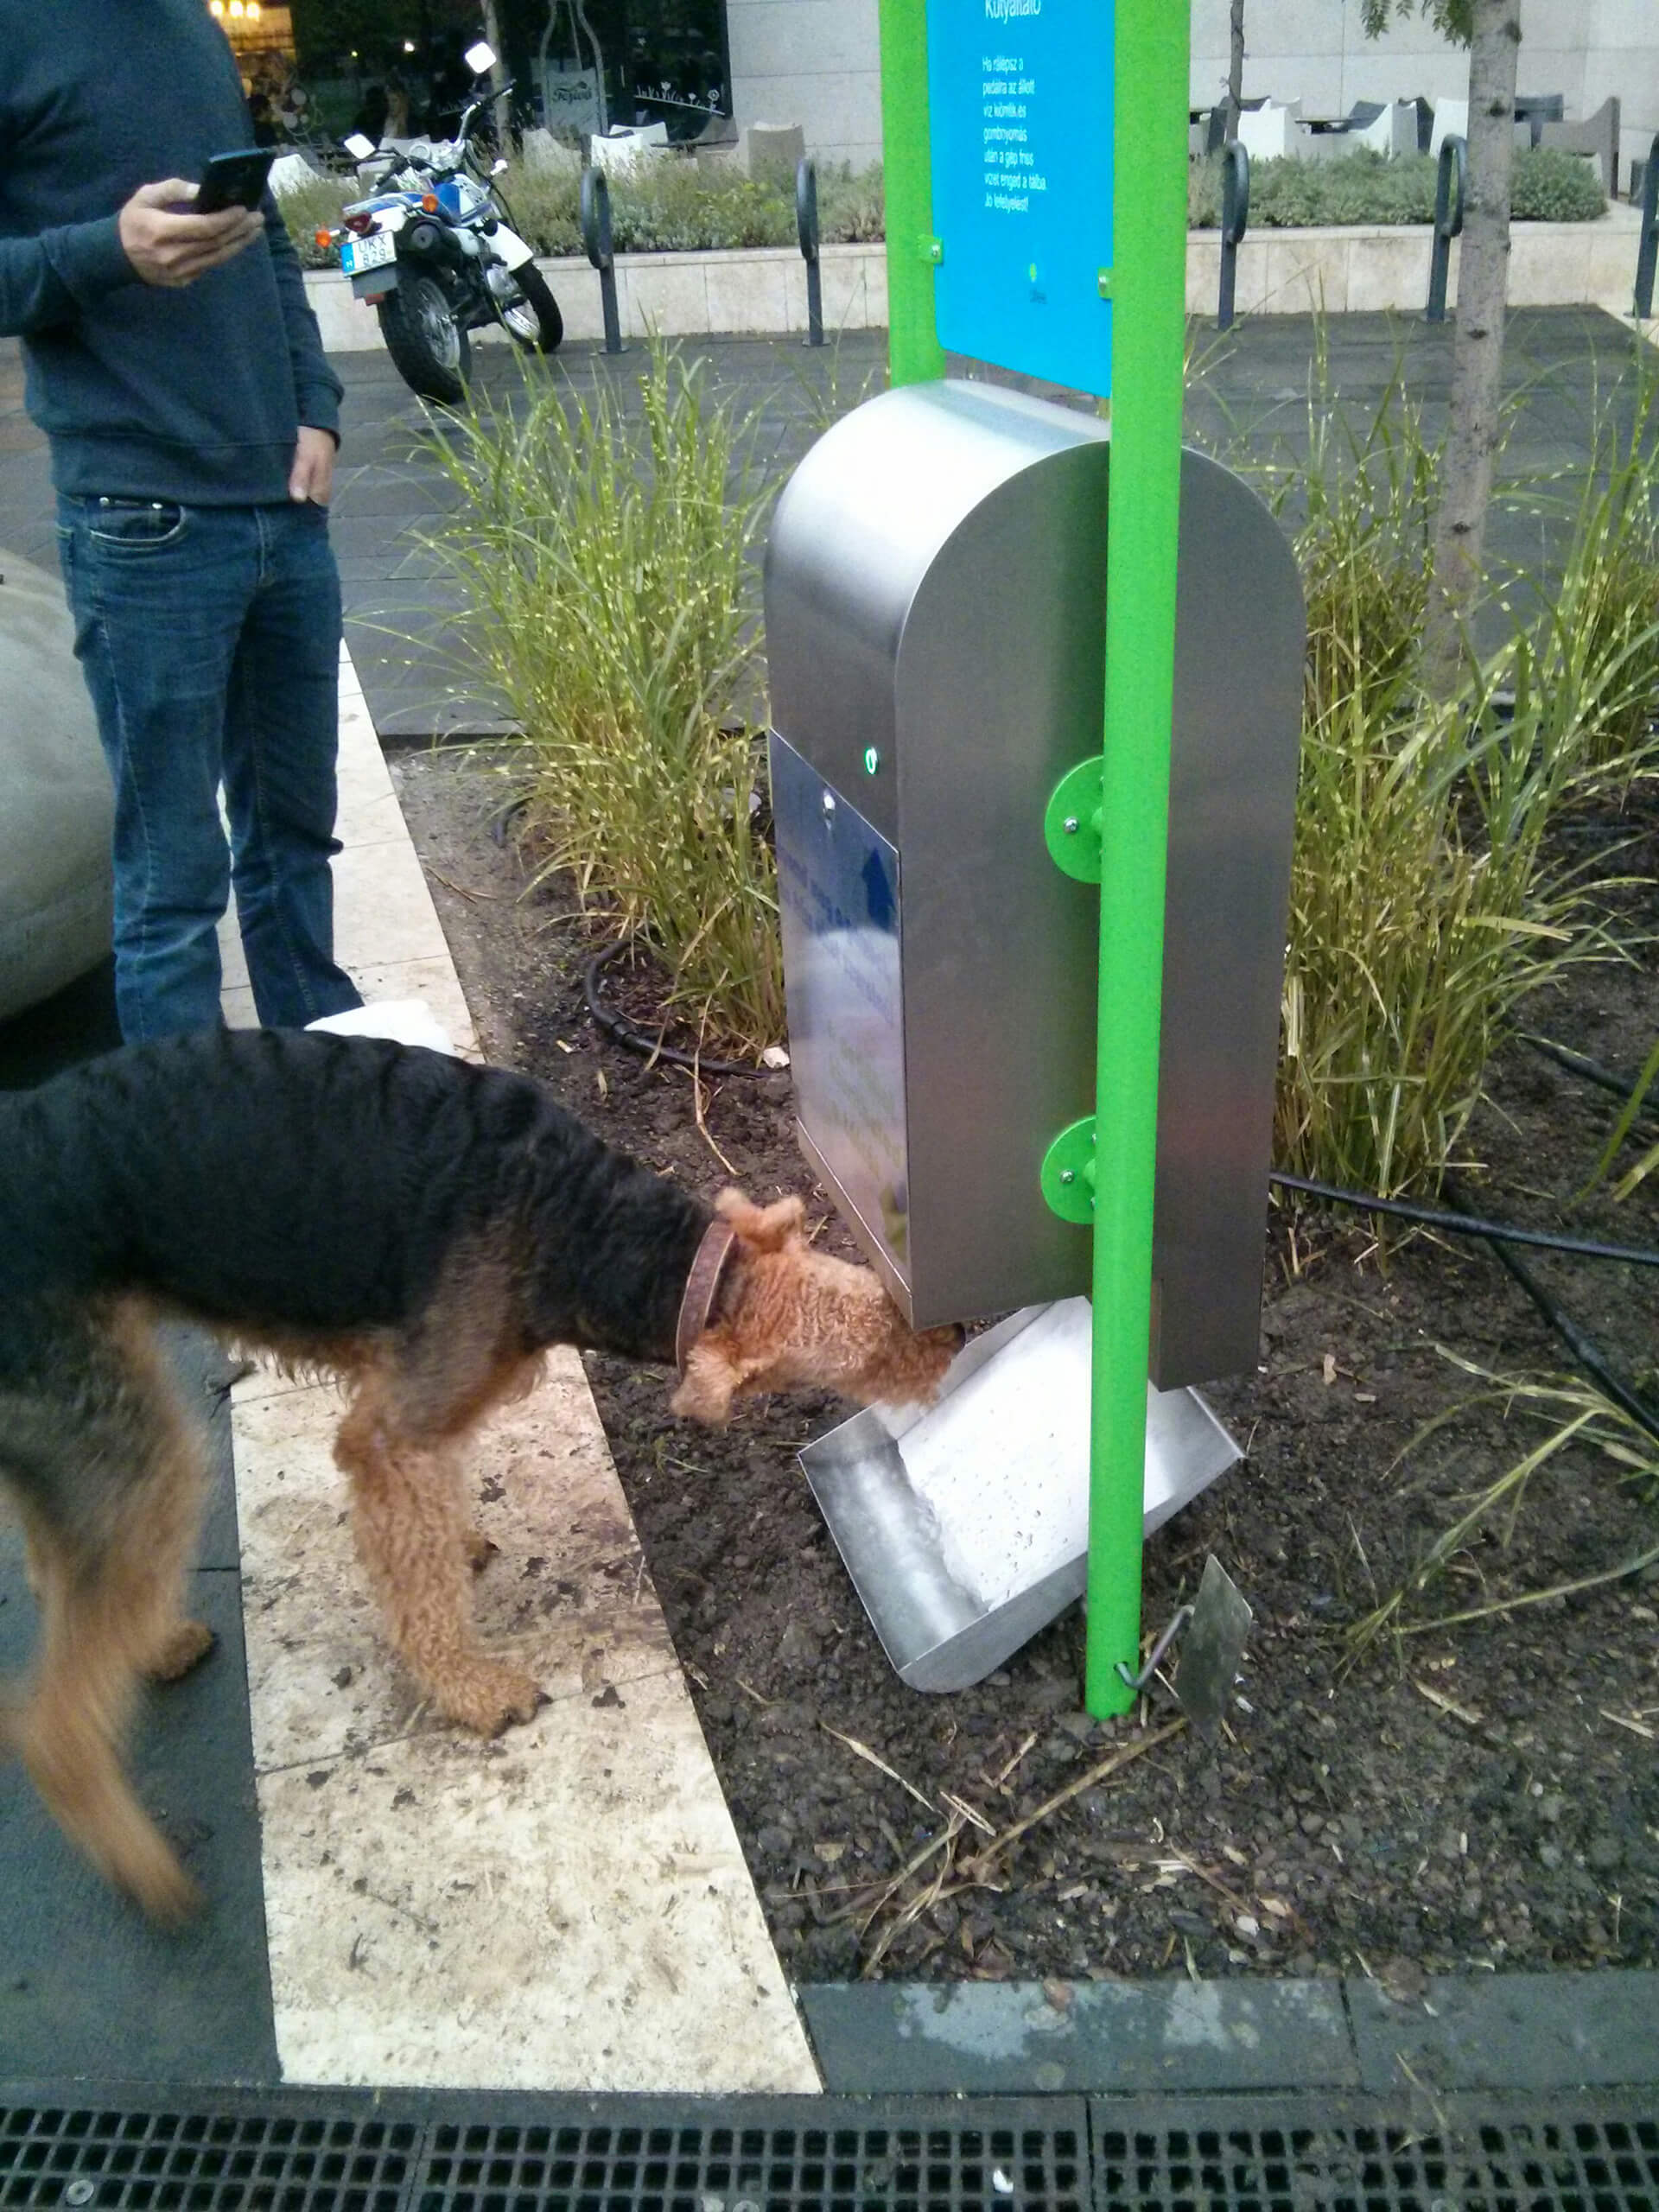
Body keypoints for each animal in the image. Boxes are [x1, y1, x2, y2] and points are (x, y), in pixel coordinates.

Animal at [0, 1030, 960, 1920]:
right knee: (47, 1721)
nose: (949, 1338)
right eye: (871, 1350)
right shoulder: (391, 1433)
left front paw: (460, 1548)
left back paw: (155, 1643)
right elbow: (417, 1583)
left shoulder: (432, 1405)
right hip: (141, 1455)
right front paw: (472, 1688)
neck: (583, 1226)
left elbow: (432, 1528)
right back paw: (151, 1875)